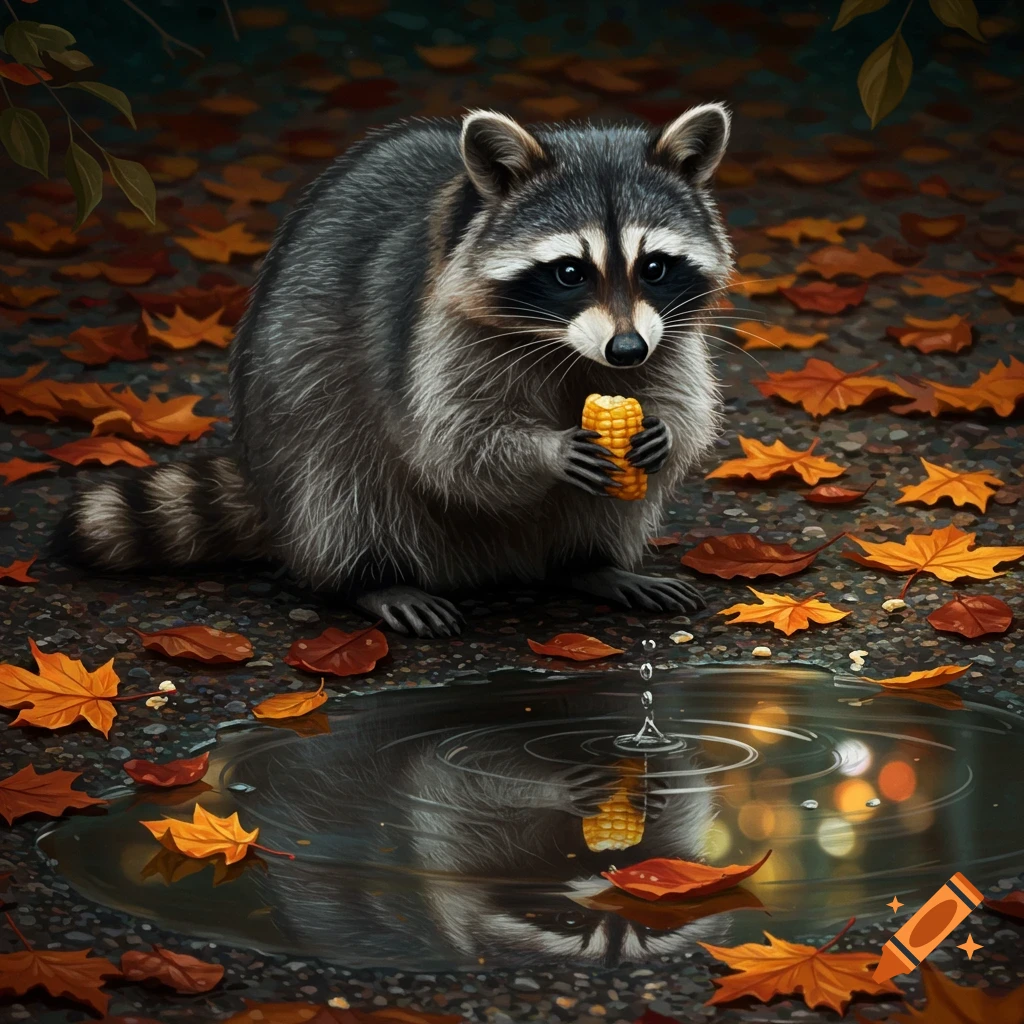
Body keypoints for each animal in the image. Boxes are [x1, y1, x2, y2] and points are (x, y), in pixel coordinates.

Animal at [55, 105, 735, 637]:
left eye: (655, 267)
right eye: (570, 271)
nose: (625, 351)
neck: (565, 347)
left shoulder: (665, 334)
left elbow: (682, 404)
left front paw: (663, 431)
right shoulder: (429, 331)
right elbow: (449, 443)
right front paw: (546, 450)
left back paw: (588, 562)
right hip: (296, 402)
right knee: (338, 481)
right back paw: (371, 578)